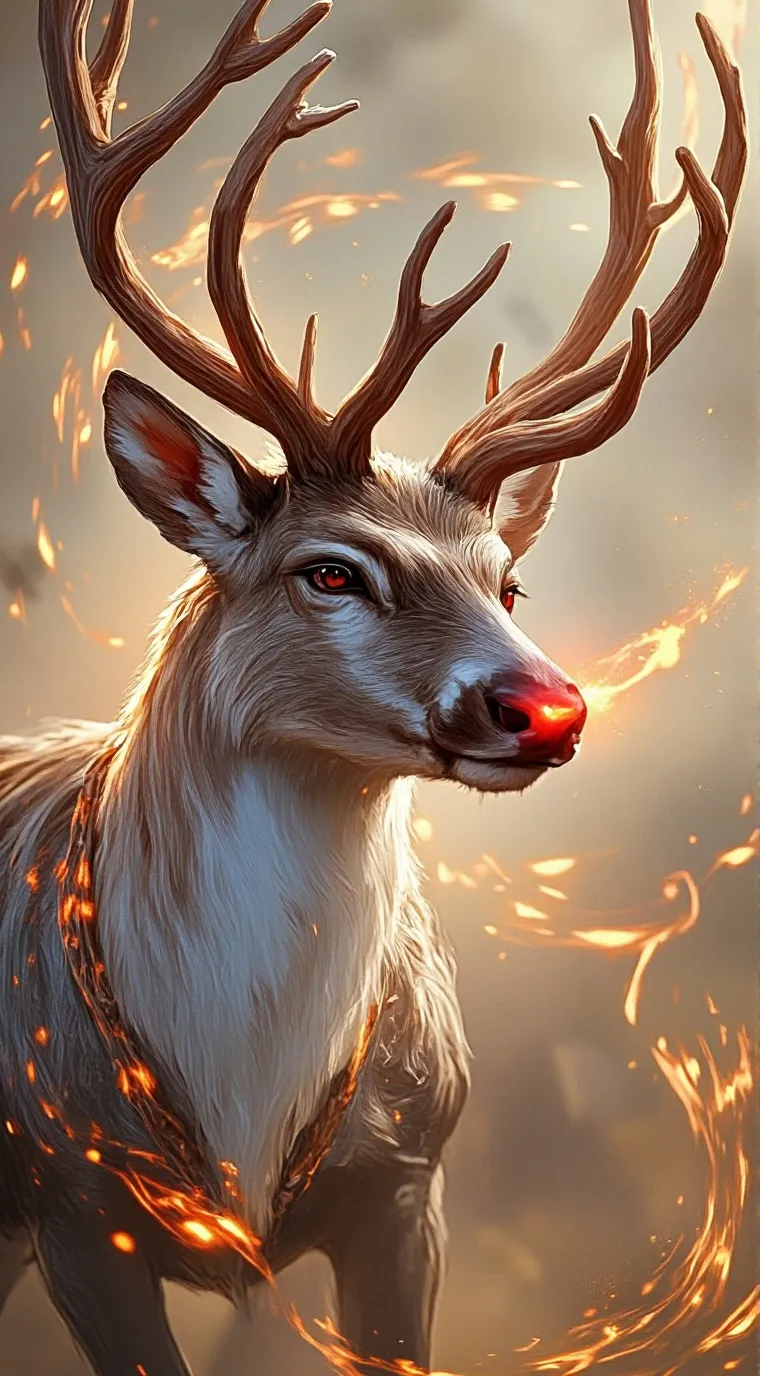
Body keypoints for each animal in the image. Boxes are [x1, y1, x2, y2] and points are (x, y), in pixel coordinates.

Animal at [0, 1, 746, 1373]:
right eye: (331, 569)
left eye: (509, 578)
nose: (548, 707)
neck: (241, 1097)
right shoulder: (78, 1202)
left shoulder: (407, 1180)